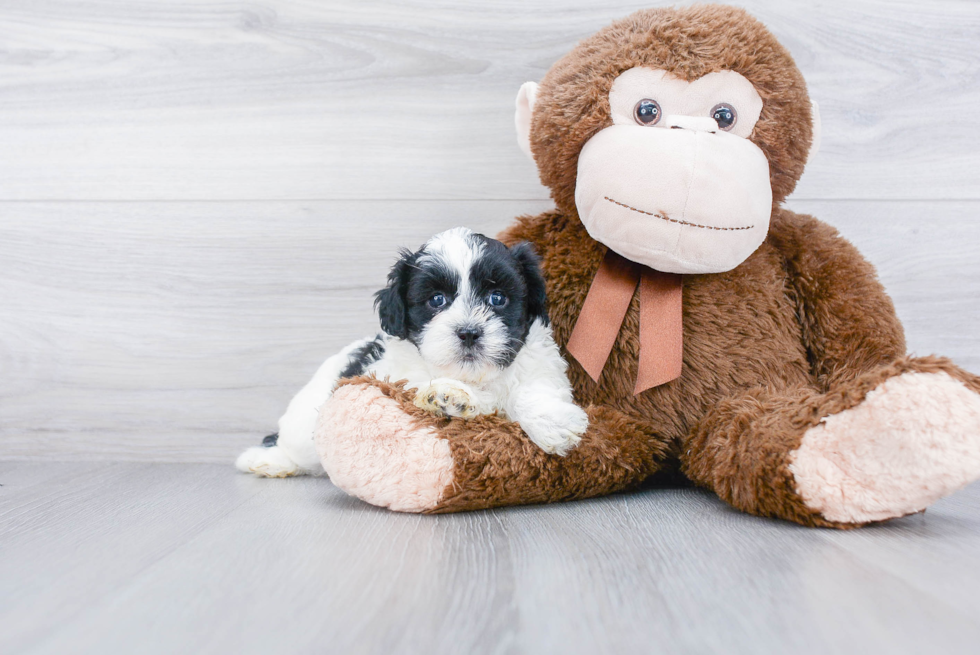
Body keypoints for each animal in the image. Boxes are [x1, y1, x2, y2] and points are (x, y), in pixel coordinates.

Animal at [237, 228, 588, 480]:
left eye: (498, 297)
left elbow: (532, 390)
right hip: (305, 421)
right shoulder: (396, 375)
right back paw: (267, 460)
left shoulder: (541, 365)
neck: (475, 376)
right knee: (297, 447)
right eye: (436, 300)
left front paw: (553, 424)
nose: (469, 332)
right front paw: (452, 395)